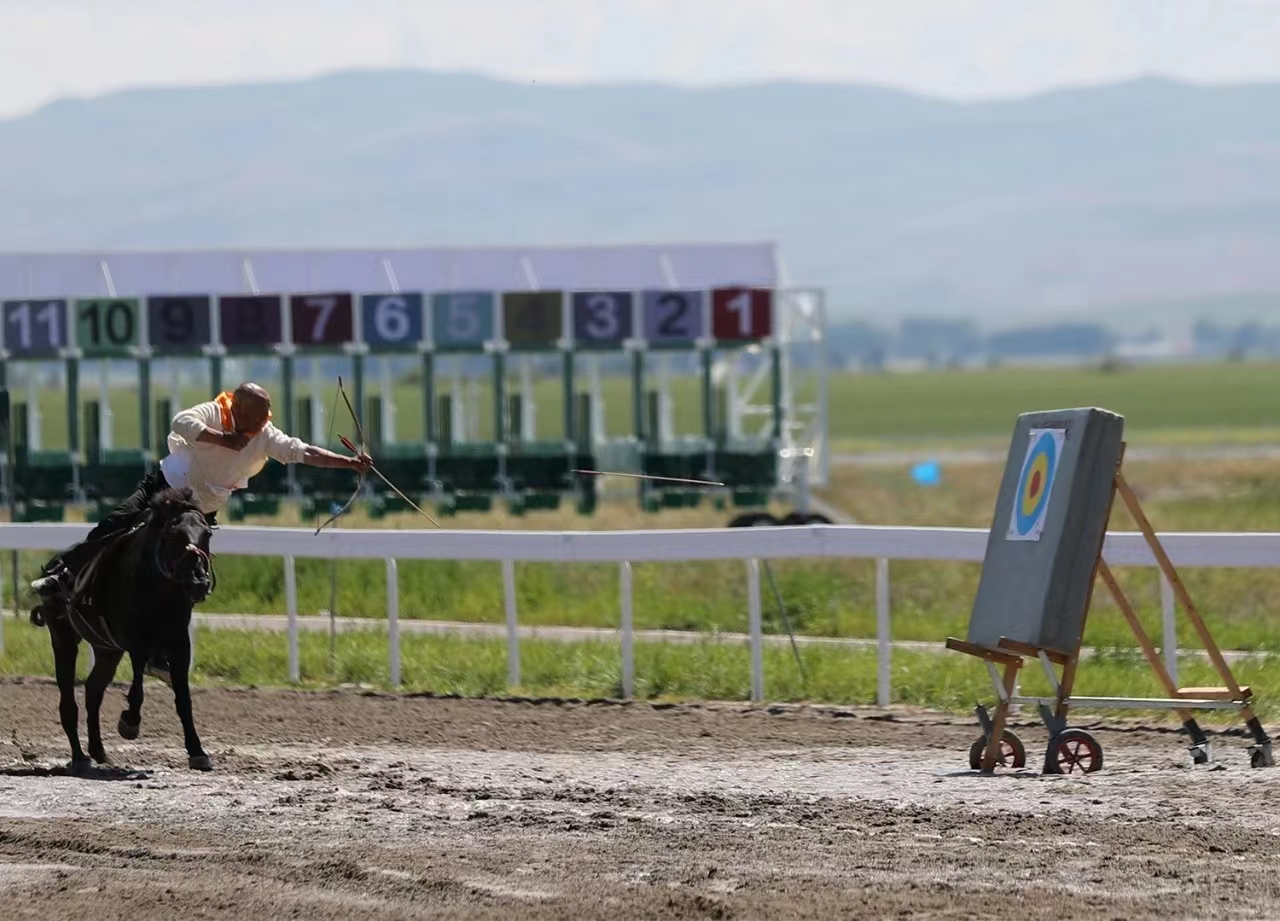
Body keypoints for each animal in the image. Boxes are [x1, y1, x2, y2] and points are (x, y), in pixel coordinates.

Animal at [32, 486, 218, 772]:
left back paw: (98, 751)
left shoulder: (179, 642)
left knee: (93, 691)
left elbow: (183, 698)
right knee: (68, 700)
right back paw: (80, 757)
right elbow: (138, 684)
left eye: (206, 534)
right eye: (174, 533)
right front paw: (129, 722)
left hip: (107, 649)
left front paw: (198, 752)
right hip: (63, 637)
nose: (198, 581)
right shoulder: (134, 639)